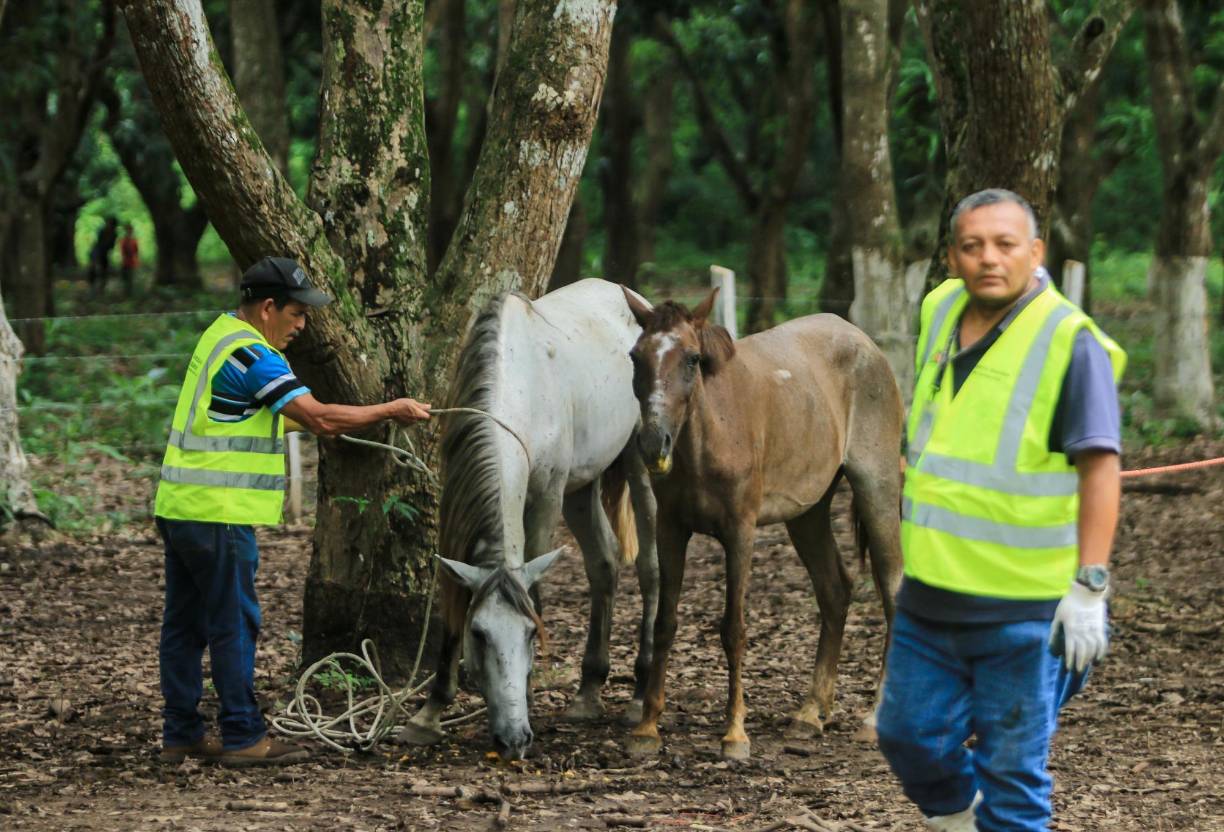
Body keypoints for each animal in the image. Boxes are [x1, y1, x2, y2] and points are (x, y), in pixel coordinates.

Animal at [398, 278, 660, 761]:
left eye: (530, 636)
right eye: (479, 634)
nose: (513, 739)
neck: (516, 386)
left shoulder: (546, 498)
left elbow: (534, 590)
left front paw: (532, 693)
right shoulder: (454, 505)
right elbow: (450, 602)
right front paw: (429, 713)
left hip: (639, 463)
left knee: (650, 567)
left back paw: (638, 693)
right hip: (581, 487)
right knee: (604, 564)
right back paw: (588, 690)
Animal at [620, 286, 904, 761]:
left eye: (693, 359)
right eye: (635, 356)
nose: (653, 443)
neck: (712, 433)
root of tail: (867, 345)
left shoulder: (740, 532)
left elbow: (733, 629)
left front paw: (735, 733)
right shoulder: (670, 529)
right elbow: (665, 623)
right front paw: (646, 728)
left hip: (877, 488)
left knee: (891, 589)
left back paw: (874, 719)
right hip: (808, 513)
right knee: (835, 591)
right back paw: (810, 713)